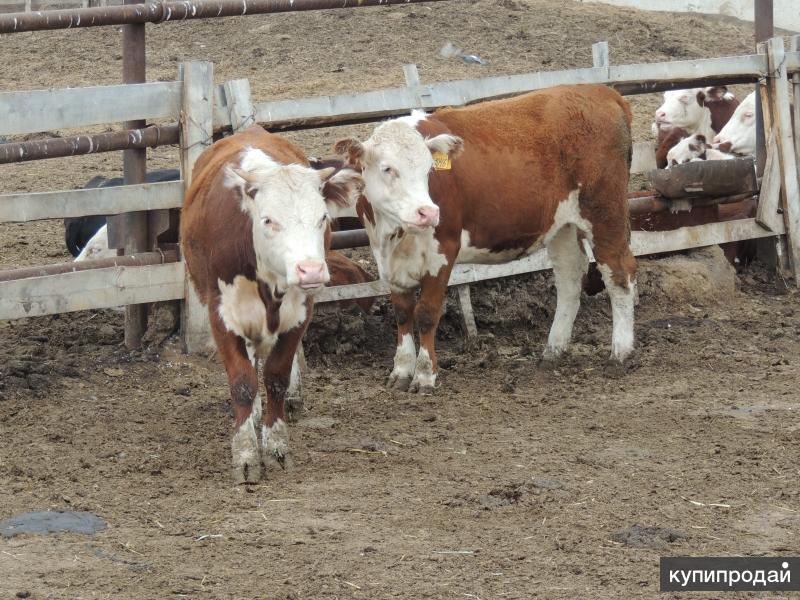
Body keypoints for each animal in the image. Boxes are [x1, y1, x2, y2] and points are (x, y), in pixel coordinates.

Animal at [183, 126, 360, 482]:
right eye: (268, 220)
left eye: (322, 217)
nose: (311, 270)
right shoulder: (221, 315)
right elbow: (242, 383)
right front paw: (246, 456)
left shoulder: (300, 311)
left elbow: (276, 376)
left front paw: (277, 448)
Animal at [334, 84, 636, 394]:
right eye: (387, 168)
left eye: (429, 170)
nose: (428, 213)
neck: (396, 233)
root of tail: (601, 91)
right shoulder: (387, 258)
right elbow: (403, 313)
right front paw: (401, 370)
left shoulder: (444, 250)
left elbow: (426, 313)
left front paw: (425, 375)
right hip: (562, 225)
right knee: (569, 280)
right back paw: (552, 352)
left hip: (605, 212)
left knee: (619, 275)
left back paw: (619, 354)